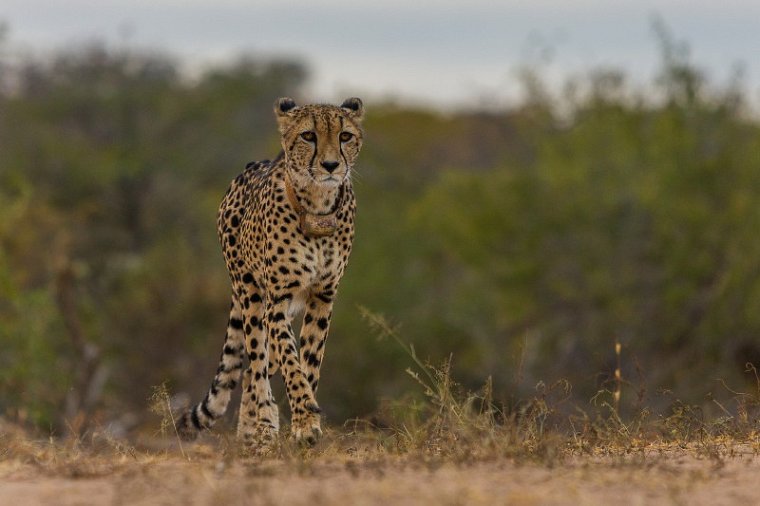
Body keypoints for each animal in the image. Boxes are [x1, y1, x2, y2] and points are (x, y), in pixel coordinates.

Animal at [178, 97, 362, 444]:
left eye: (345, 136)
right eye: (308, 136)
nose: (331, 165)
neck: (318, 207)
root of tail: (249, 166)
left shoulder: (323, 296)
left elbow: (309, 360)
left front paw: (305, 420)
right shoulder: (278, 300)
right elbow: (291, 361)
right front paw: (303, 419)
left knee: (254, 367)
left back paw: (255, 429)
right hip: (250, 294)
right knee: (257, 360)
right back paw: (260, 426)